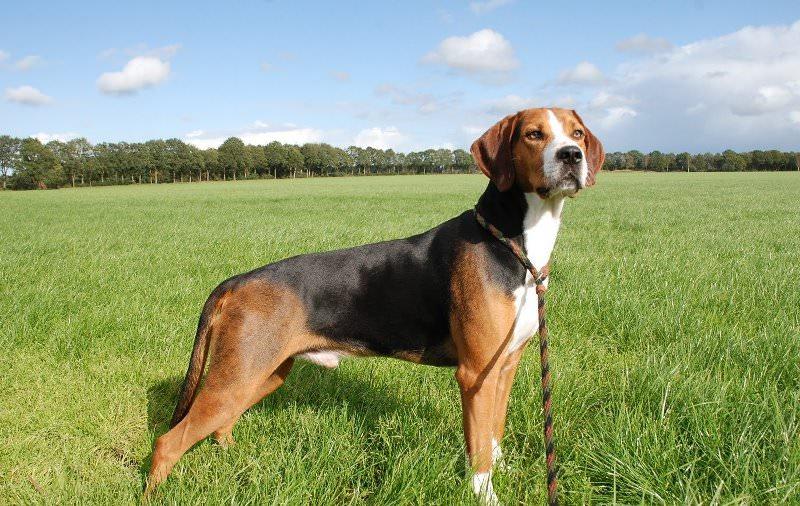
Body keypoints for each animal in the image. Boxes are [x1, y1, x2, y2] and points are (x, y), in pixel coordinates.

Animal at [146, 107, 604, 503]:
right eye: (533, 134)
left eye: (577, 133)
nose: (571, 155)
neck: (513, 244)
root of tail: (237, 282)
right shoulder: (476, 374)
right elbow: (477, 450)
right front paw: (486, 494)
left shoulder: (504, 367)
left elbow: (493, 434)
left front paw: (504, 472)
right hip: (238, 375)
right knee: (168, 442)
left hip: (263, 373)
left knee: (220, 425)